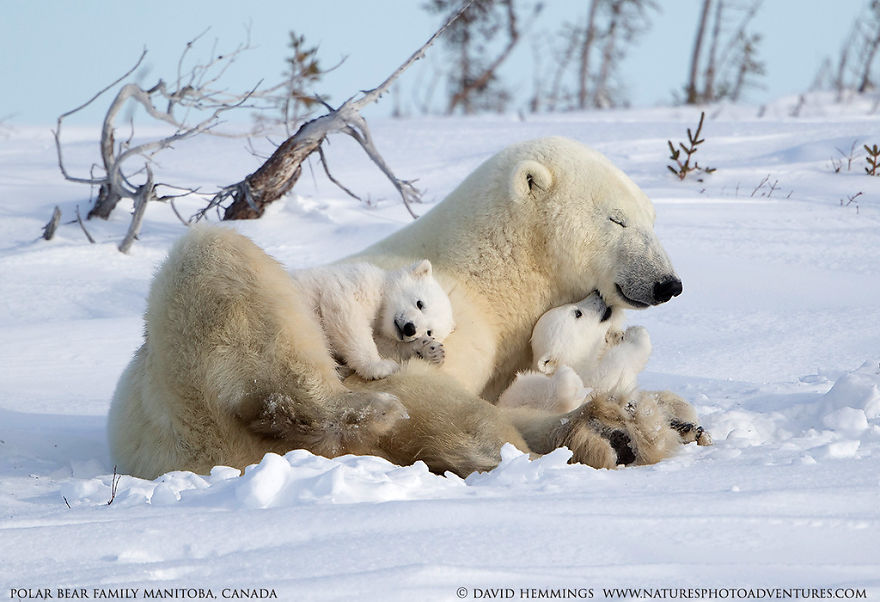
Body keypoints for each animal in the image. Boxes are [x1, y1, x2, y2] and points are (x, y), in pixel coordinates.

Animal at [290, 258, 454, 380]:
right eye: (420, 303)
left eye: (429, 331)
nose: (410, 328)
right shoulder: (356, 283)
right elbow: (347, 315)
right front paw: (379, 367)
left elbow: (384, 344)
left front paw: (432, 350)